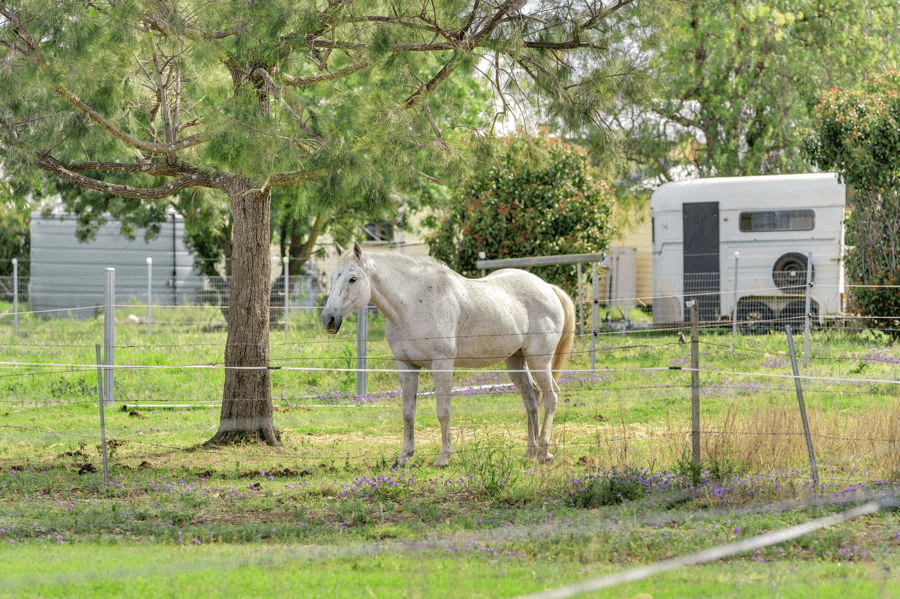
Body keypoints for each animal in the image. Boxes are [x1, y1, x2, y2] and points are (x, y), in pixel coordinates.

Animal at [324, 241, 576, 466]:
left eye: (352, 279)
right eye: (333, 277)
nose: (328, 319)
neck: (413, 304)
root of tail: (548, 288)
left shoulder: (442, 364)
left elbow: (443, 411)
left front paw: (444, 457)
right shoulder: (405, 365)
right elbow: (408, 412)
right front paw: (405, 456)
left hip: (539, 360)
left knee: (551, 396)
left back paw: (544, 453)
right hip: (515, 360)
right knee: (531, 399)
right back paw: (530, 452)